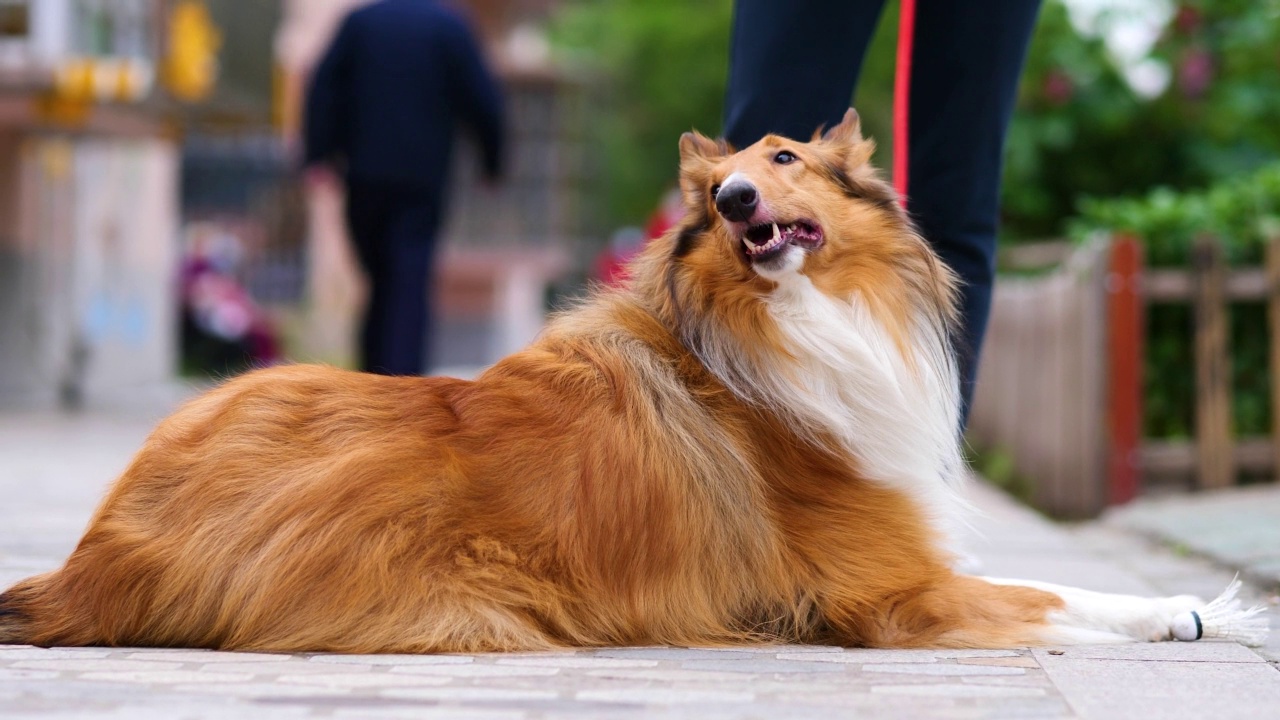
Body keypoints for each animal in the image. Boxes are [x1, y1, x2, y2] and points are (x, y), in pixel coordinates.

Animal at [0, 107, 1259, 650]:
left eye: (784, 159)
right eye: (717, 189)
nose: (738, 199)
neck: (779, 325)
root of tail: (99, 553)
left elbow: (1053, 588)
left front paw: (1197, 608)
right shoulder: (887, 593)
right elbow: (1047, 599)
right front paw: (1188, 611)